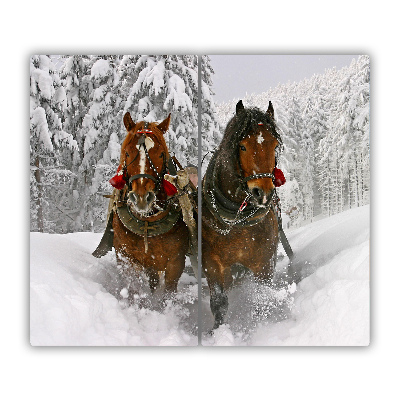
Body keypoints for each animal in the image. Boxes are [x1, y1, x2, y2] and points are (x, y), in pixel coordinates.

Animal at [95, 112, 192, 304]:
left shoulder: (176, 262)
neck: (148, 221)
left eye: (161, 154)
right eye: (127, 152)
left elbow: (168, 293)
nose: (141, 197)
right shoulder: (126, 257)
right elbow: (132, 289)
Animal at [202, 99, 282, 328]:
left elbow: (261, 299)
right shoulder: (212, 263)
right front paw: (217, 331)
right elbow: (219, 303)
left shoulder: (265, 263)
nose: (263, 193)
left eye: (274, 145)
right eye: (243, 146)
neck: (237, 223)